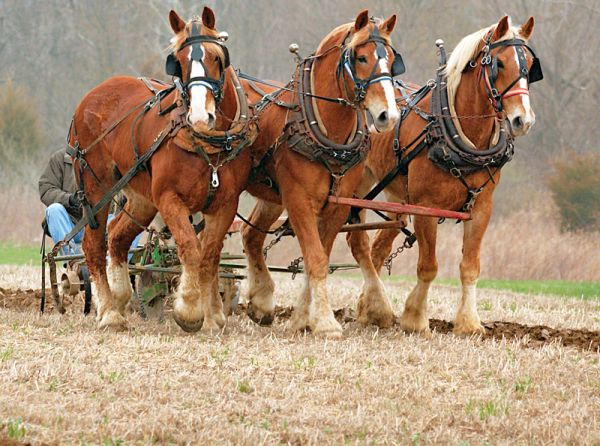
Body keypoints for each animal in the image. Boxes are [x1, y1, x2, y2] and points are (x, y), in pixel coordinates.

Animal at [68, 7, 255, 332]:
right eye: (178, 61)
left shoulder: (225, 204)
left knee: (117, 237)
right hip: (96, 188)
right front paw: (189, 310)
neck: (205, 144)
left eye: (216, 57)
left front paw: (214, 316)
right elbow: (190, 248)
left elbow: (210, 256)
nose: (200, 117)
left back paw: (121, 297)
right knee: (93, 243)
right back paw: (109, 312)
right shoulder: (169, 199)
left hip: (140, 198)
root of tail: (91, 97)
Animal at [241, 9, 406, 338]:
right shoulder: (298, 201)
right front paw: (326, 323)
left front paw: (304, 317)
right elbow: (315, 258)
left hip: (271, 196)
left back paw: (261, 303)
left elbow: (318, 256)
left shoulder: (337, 205)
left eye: (392, 59)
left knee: (250, 234)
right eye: (360, 57)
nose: (388, 115)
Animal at [344, 14, 540, 334]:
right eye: (498, 64)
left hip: (398, 198)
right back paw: (376, 307)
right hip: (356, 188)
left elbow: (470, 267)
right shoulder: (426, 207)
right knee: (356, 242)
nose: (523, 120)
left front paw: (469, 323)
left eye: (530, 66)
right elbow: (428, 266)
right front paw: (415, 319)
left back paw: (369, 308)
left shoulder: (481, 208)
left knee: (377, 249)